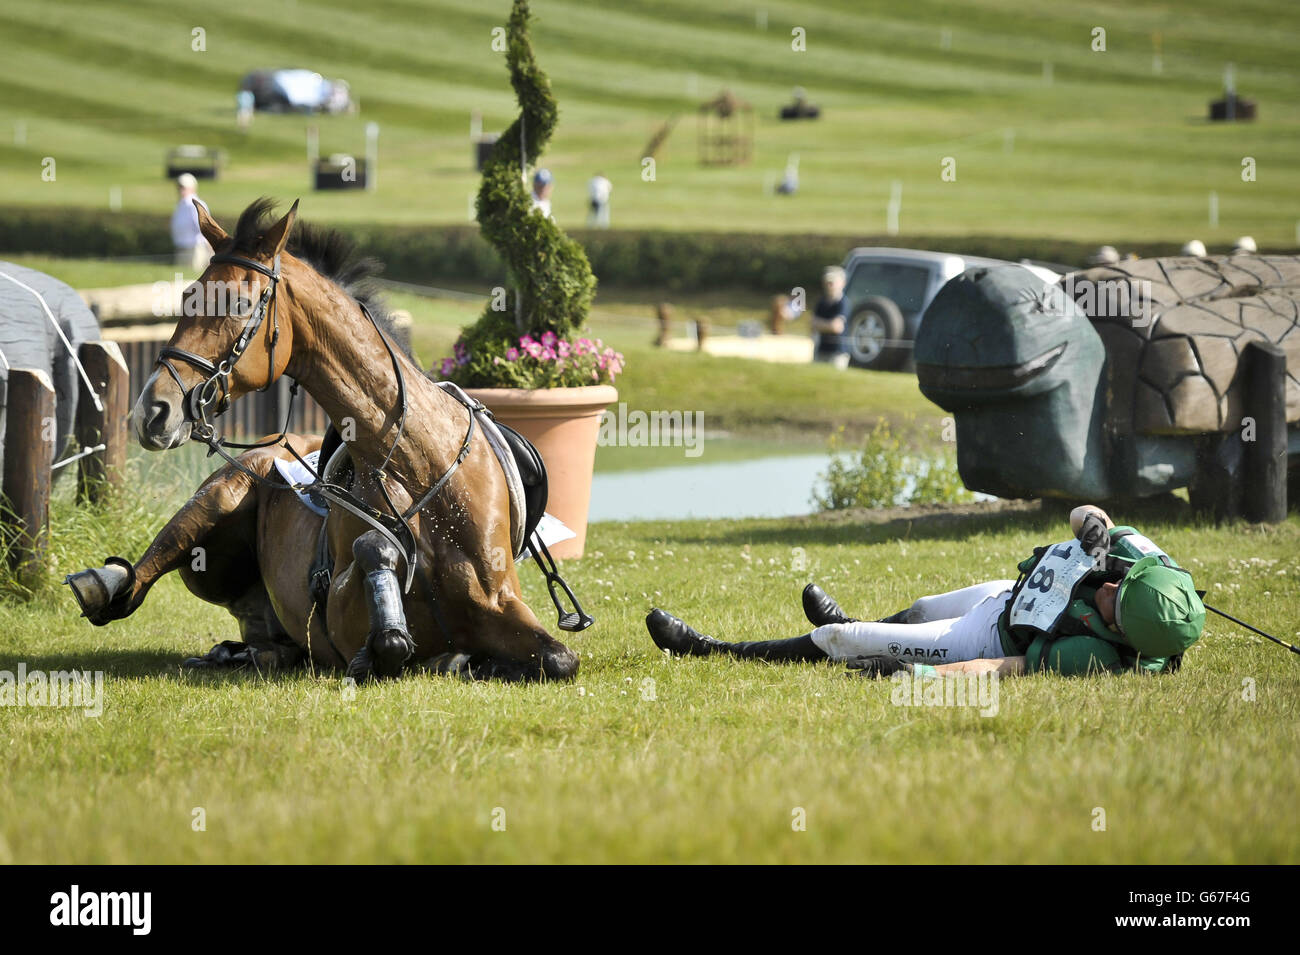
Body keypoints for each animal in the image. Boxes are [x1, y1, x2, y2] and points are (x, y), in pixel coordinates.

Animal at [64, 197, 585, 686]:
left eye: (237, 304)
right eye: (188, 296)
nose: (152, 411)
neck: (420, 467)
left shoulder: (498, 601)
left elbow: (560, 658)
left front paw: (473, 660)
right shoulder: (338, 616)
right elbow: (381, 596)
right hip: (214, 503)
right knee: (137, 583)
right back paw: (106, 586)